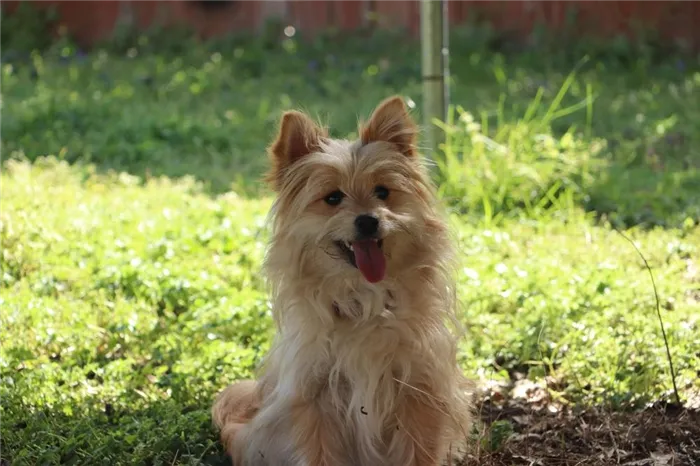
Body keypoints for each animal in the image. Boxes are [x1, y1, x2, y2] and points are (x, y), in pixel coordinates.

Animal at [213, 95, 474, 466]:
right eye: (333, 198)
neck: (364, 302)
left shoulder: (420, 390)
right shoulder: (315, 398)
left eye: (383, 192)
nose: (368, 220)